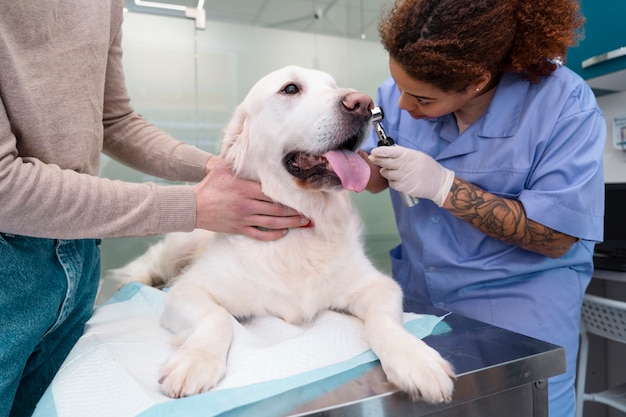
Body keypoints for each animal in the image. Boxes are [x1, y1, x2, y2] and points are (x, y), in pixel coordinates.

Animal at [111, 65, 454, 404]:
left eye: (334, 86)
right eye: (290, 89)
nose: (363, 103)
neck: (300, 225)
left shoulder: (380, 286)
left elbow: (383, 320)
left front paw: (414, 358)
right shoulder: (188, 290)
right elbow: (216, 316)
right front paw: (195, 361)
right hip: (183, 239)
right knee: (153, 264)